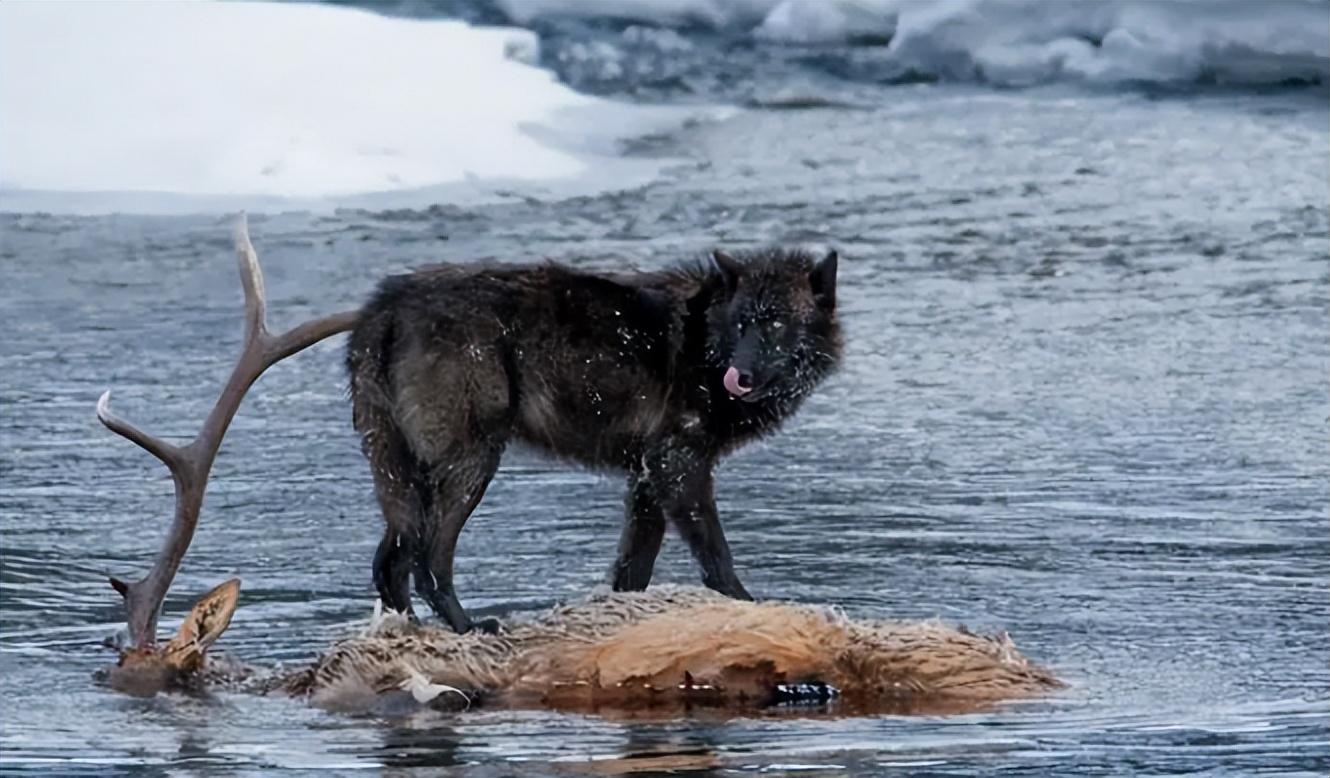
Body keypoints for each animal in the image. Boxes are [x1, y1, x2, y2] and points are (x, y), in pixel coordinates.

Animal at [345, 248, 840, 630]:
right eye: (742, 324)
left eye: (777, 325)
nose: (740, 375)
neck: (706, 340)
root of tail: (385, 306)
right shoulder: (678, 465)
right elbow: (717, 557)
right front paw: (750, 608)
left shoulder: (648, 477)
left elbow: (632, 570)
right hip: (470, 466)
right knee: (428, 562)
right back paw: (467, 627)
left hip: (409, 478)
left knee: (390, 563)